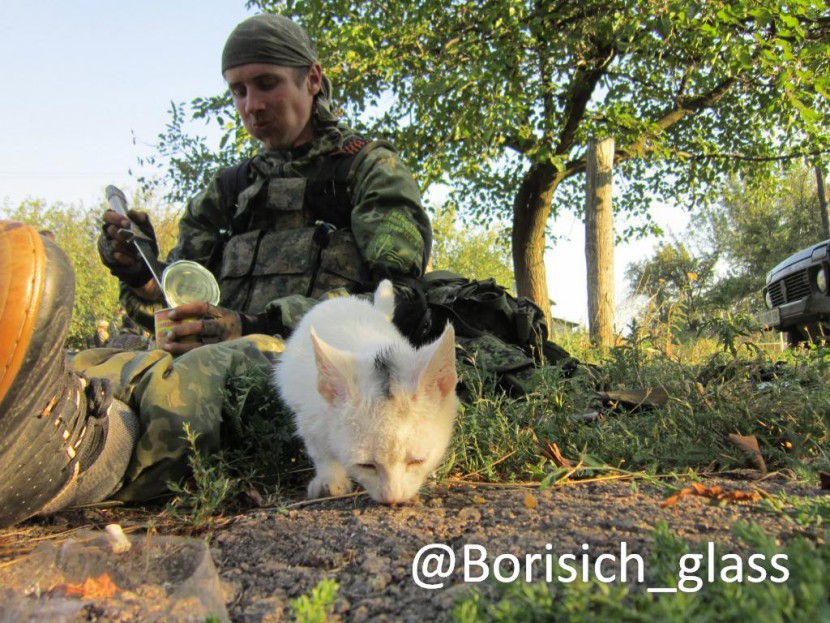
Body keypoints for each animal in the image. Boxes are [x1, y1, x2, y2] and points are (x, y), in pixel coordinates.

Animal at [274, 282, 458, 508]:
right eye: (366, 465)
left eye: (417, 461)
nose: (392, 499)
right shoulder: (308, 411)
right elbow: (320, 448)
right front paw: (330, 480)